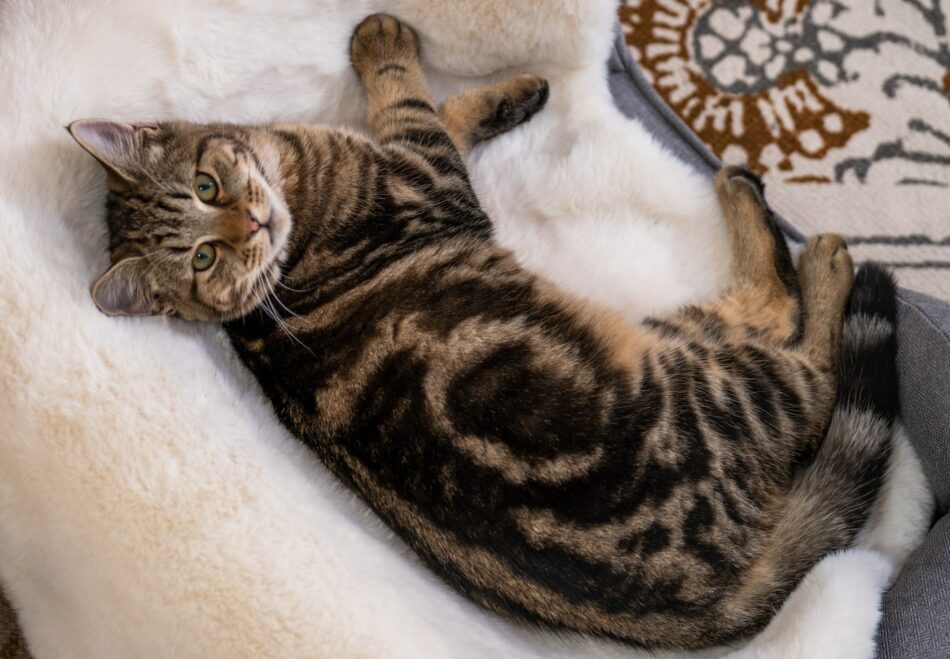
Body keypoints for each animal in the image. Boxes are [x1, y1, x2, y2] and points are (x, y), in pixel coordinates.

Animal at [69, 14, 900, 648]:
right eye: (204, 257)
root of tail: (704, 605)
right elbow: (411, 101)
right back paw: (812, 249)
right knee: (798, 345)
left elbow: (448, 111)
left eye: (208, 189)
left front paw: (513, 94)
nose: (250, 224)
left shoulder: (417, 169)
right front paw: (384, 41)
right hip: (712, 364)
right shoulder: (423, 174)